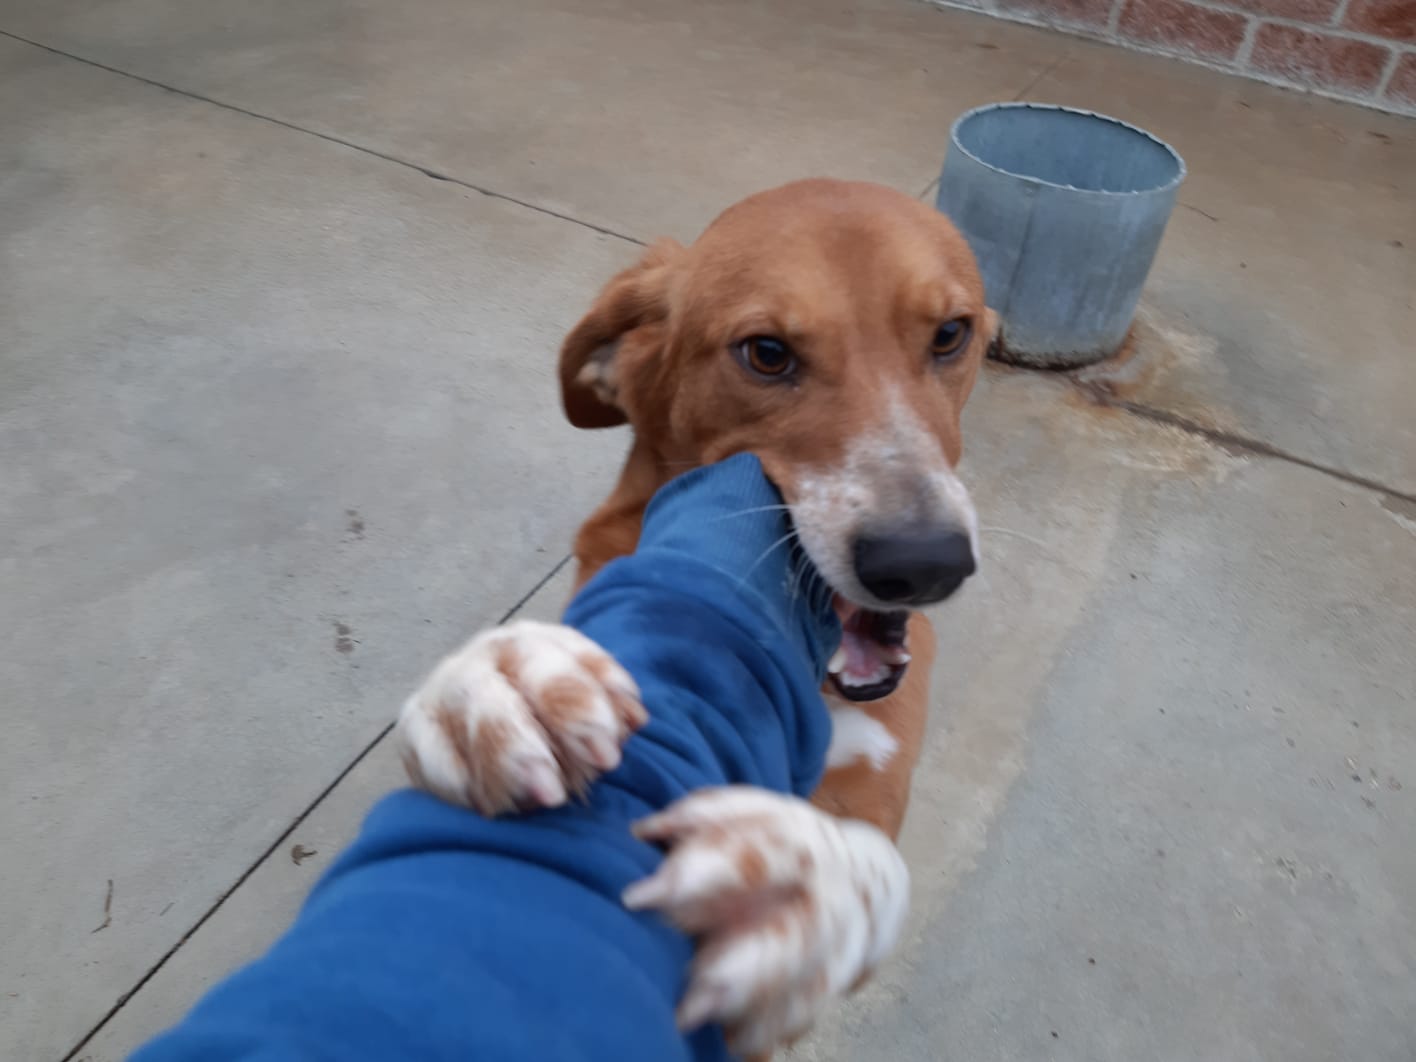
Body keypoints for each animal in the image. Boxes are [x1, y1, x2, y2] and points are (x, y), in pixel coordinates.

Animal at [397, 179, 990, 1055]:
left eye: (951, 335)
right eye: (767, 353)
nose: (925, 564)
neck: (821, 681)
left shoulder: (878, 790)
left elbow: (872, 857)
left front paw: (808, 879)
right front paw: (503, 679)